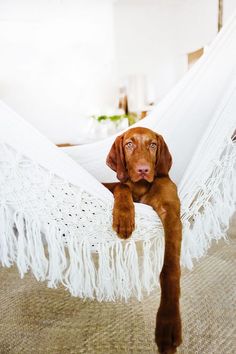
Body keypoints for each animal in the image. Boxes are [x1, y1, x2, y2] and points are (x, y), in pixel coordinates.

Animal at [103, 127, 183, 354]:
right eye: (129, 144)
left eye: (153, 145)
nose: (143, 170)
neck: (142, 187)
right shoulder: (123, 185)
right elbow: (122, 187)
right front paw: (123, 216)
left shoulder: (171, 213)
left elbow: (169, 269)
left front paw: (168, 323)